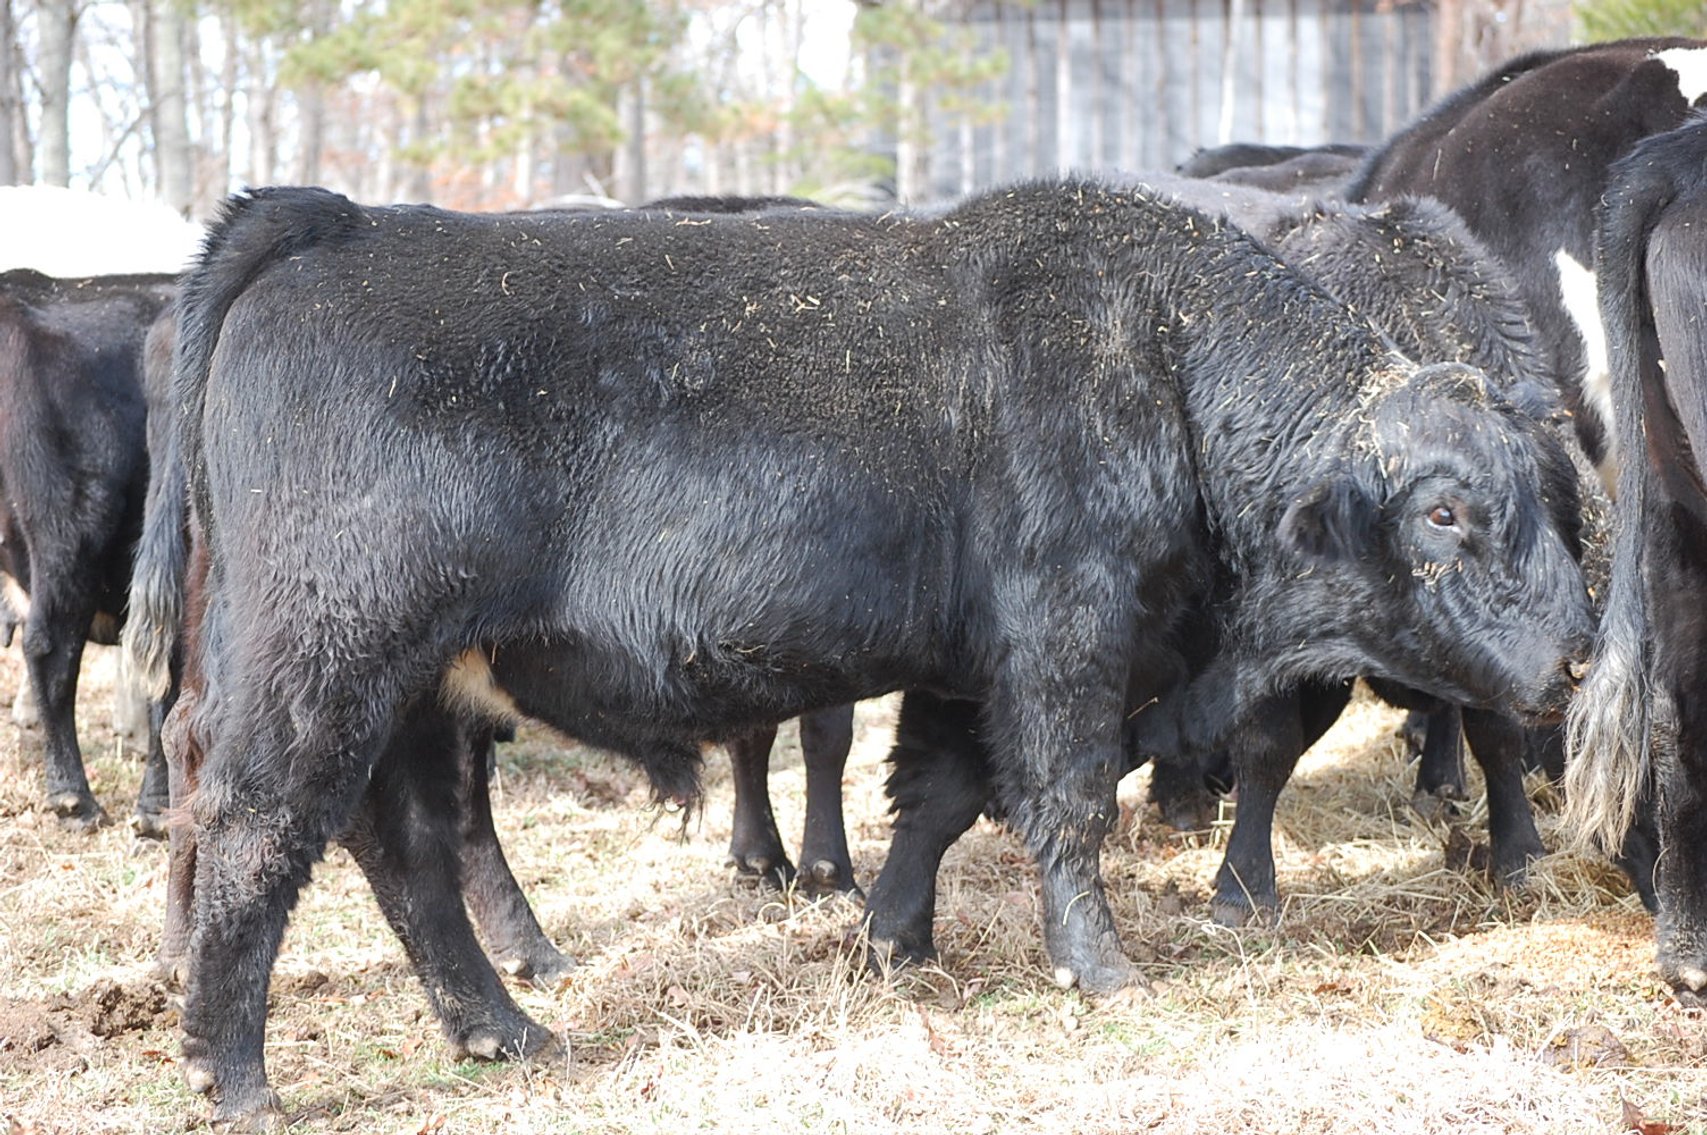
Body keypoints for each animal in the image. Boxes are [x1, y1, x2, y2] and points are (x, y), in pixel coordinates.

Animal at [165, 181, 1590, 1127]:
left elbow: (943, 795)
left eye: (1545, 489)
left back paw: (507, 1033)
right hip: (329, 670)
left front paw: (892, 938)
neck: (1168, 354)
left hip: (412, 692)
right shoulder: (1067, 643)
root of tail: (342, 225)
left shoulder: (967, 668)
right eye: (1446, 512)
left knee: (404, 850)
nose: (1579, 651)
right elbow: (1064, 801)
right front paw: (1103, 967)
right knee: (257, 831)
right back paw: (237, 1077)